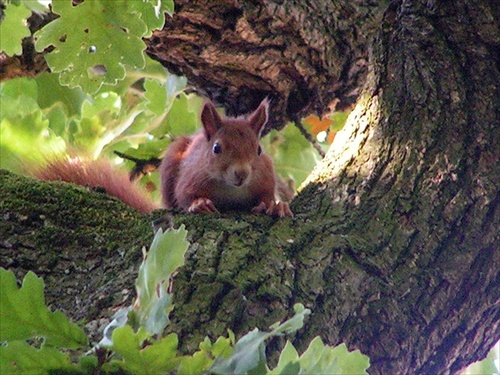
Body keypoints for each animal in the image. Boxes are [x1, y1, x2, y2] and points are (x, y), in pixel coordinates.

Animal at [160, 98, 292, 219]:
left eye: (259, 150)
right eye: (216, 148)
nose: (242, 174)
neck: (229, 187)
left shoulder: (265, 176)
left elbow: (267, 196)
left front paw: (275, 206)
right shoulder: (192, 175)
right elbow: (183, 195)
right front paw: (200, 203)